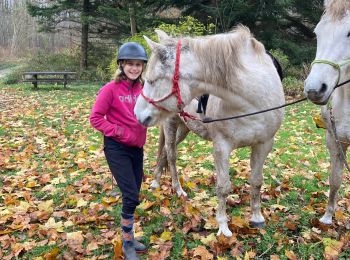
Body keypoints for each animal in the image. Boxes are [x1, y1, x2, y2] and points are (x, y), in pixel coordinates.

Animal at [134, 25, 284, 236]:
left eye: (152, 80)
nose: (137, 114)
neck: (254, 100)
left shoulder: (263, 144)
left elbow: (256, 181)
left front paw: (257, 217)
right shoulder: (222, 147)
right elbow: (223, 186)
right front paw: (223, 226)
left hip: (184, 129)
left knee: (165, 152)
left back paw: (158, 180)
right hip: (171, 124)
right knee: (171, 155)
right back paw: (176, 188)